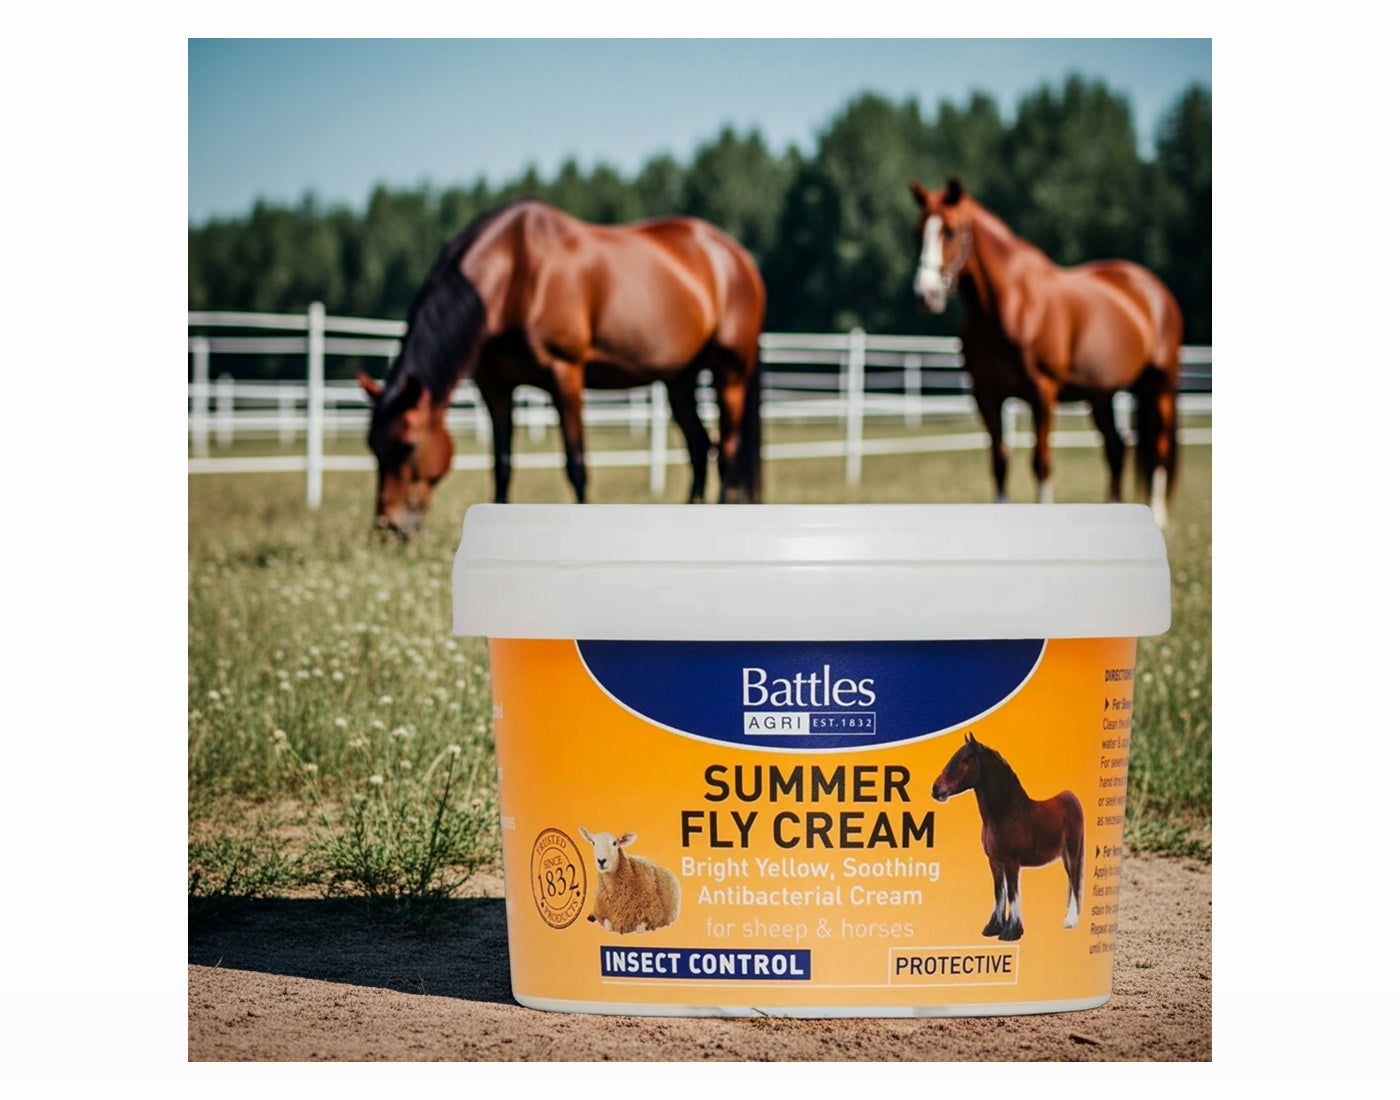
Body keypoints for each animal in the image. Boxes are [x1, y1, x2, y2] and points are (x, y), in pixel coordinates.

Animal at [358, 199, 766, 535]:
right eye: (372, 447)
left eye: (408, 445)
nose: (387, 528)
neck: (520, 271)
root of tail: (735, 255)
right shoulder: (494, 385)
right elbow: (502, 465)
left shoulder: (565, 374)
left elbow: (576, 465)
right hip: (679, 378)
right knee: (700, 447)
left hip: (730, 372)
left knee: (728, 449)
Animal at [908, 177, 1182, 526]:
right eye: (917, 233)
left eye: (952, 231)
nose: (925, 295)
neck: (1010, 306)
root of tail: (1155, 289)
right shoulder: (986, 396)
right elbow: (999, 461)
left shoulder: (1042, 393)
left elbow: (1041, 462)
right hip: (1100, 396)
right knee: (1116, 448)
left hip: (1159, 385)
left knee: (1157, 447)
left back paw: (1158, 516)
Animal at [930, 732, 1085, 942]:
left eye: (965, 759)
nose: (936, 789)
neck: (1005, 814)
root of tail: (1073, 798)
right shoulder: (995, 861)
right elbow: (999, 892)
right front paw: (993, 927)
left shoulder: (1012, 861)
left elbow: (1012, 893)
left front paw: (1012, 930)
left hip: (1072, 852)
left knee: (1074, 879)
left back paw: (1071, 921)